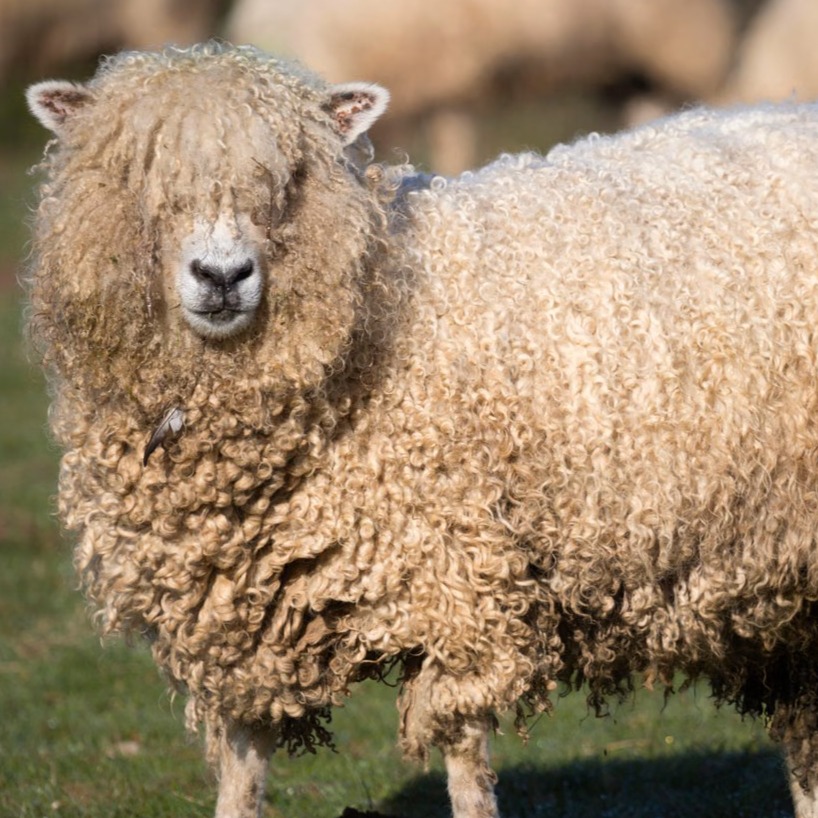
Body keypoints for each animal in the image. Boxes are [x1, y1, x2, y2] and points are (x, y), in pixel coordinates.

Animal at [23, 40, 818, 818]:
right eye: (135, 176)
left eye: (292, 180)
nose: (223, 276)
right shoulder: (238, 615)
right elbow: (242, 770)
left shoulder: (456, 580)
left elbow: (464, 760)